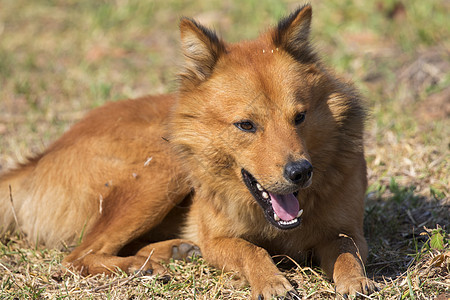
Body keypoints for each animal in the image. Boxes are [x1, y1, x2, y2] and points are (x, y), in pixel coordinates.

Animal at [1, 5, 374, 298]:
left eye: (299, 117)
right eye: (246, 125)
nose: (300, 172)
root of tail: (42, 155)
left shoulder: (350, 232)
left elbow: (346, 250)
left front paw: (356, 281)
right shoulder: (218, 240)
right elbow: (250, 249)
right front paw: (271, 282)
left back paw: (170, 251)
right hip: (161, 170)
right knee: (78, 256)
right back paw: (142, 266)